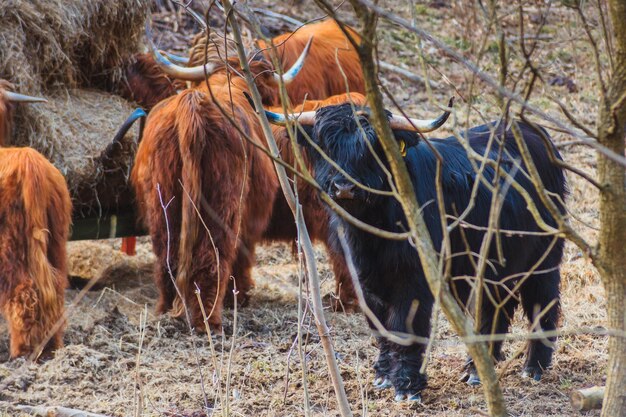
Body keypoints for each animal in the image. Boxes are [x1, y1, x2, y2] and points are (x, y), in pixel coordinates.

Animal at [0, 147, 72, 358]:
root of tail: (28, 158)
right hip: (55, 245)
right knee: (54, 292)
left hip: (10, 246)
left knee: (24, 293)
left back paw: (23, 351)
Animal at [268, 101, 564, 400]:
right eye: (325, 145)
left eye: (373, 147)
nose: (345, 186)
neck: (371, 230)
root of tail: (531, 131)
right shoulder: (364, 277)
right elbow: (381, 326)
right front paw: (383, 376)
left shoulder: (415, 277)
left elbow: (405, 326)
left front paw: (407, 386)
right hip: (494, 263)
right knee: (494, 306)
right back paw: (476, 369)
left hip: (545, 254)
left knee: (542, 300)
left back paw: (533, 367)